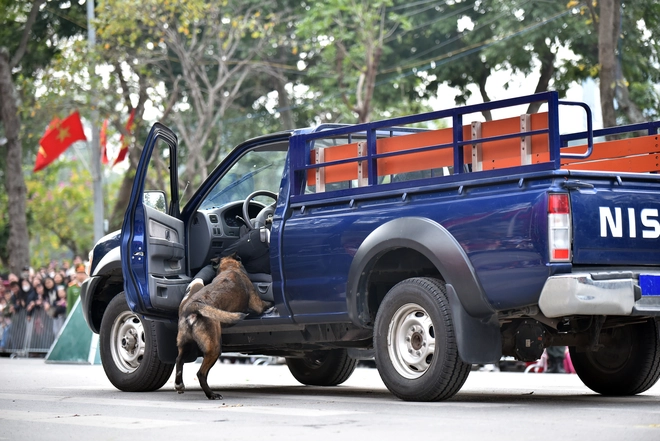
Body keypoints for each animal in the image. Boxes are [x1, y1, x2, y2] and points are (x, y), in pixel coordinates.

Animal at [174, 253, 272, 400]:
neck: (230, 267)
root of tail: (194, 306)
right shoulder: (257, 304)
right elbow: (265, 304)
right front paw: (272, 305)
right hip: (214, 348)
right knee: (201, 373)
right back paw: (211, 394)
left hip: (185, 344)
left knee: (179, 360)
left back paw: (179, 385)